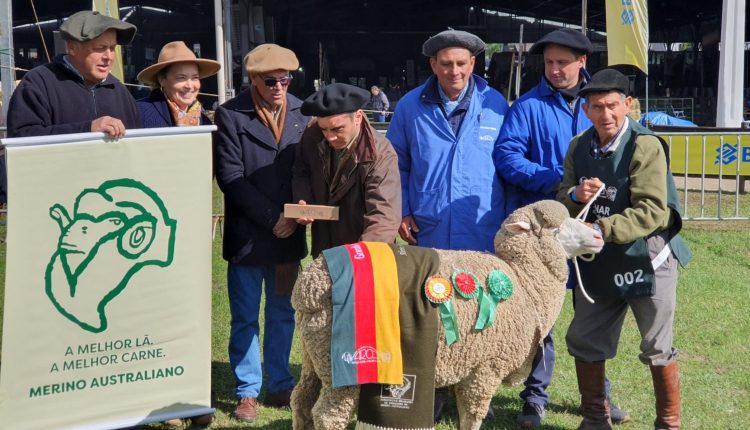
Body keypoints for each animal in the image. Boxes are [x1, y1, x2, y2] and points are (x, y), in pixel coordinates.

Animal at [290, 201, 608, 430]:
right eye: (555, 229)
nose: (598, 234)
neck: (524, 282)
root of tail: (309, 285)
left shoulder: (467, 365)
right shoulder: (486, 367)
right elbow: (472, 417)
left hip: (314, 354)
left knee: (301, 401)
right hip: (345, 366)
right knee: (328, 415)